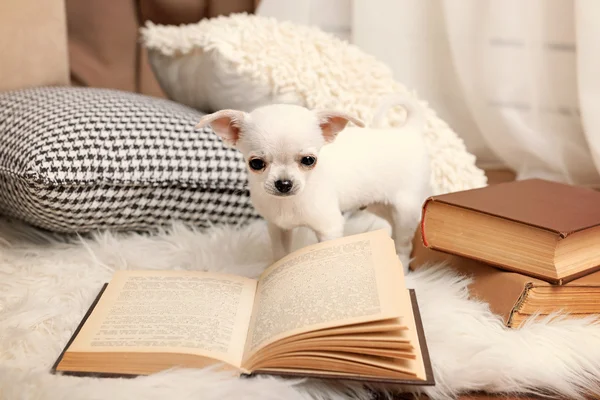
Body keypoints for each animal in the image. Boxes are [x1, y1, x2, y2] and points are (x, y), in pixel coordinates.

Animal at [197, 96, 432, 272]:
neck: (288, 203)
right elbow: (280, 253)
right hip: (378, 205)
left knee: (404, 243)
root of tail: (409, 131)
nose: (284, 183)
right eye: (256, 163)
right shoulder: (278, 227)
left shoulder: (330, 227)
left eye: (309, 160)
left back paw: (401, 265)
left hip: (405, 209)